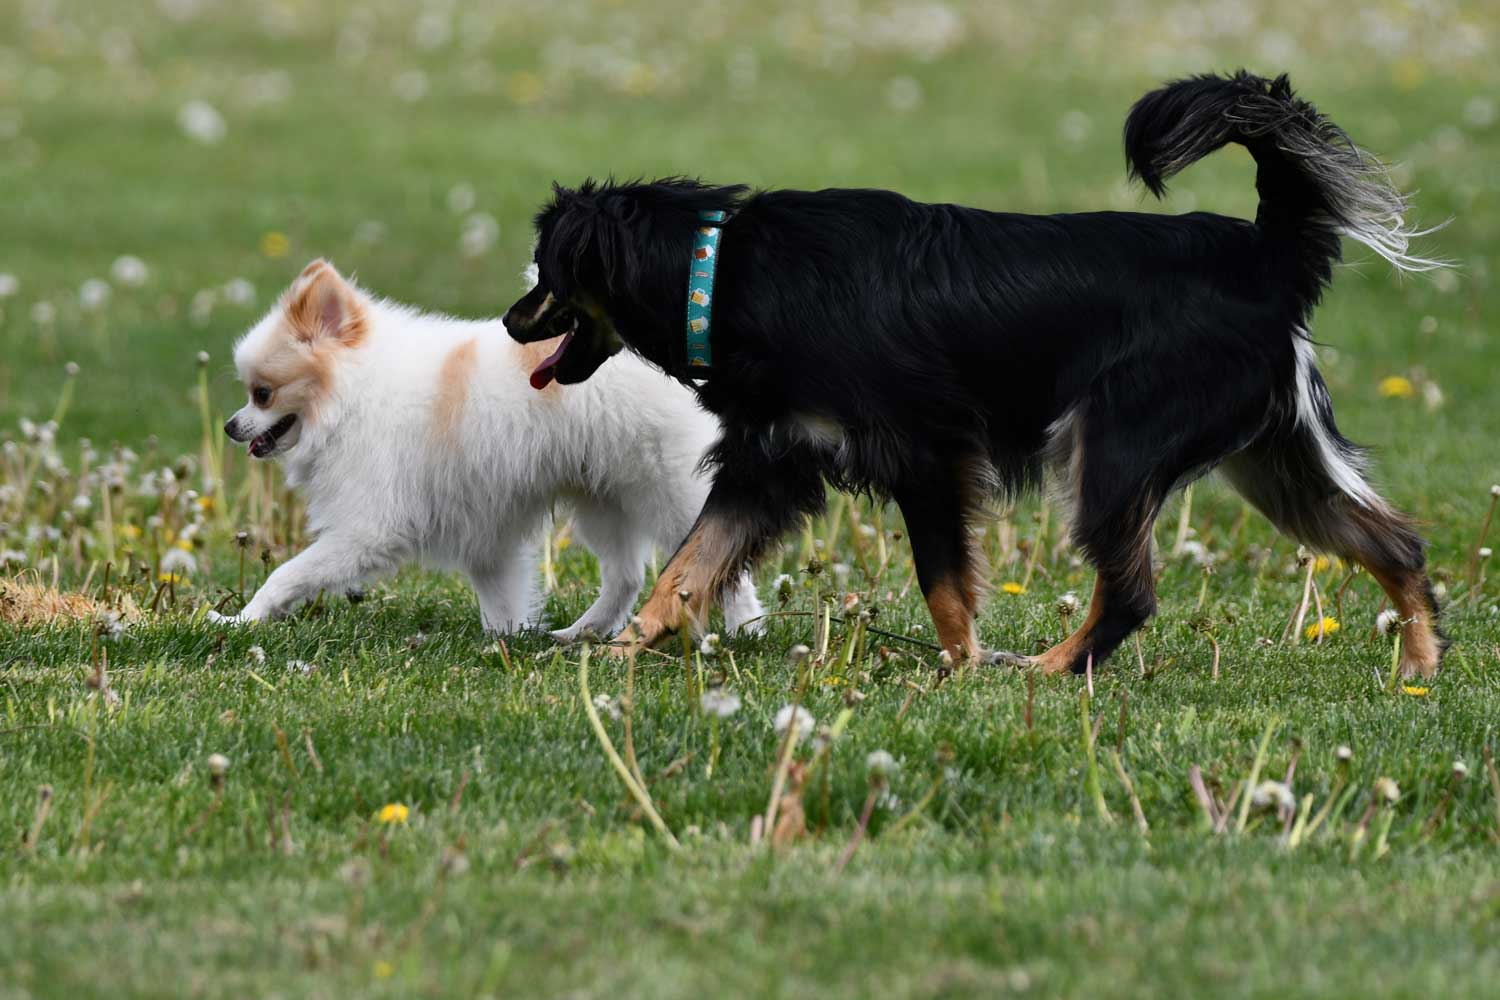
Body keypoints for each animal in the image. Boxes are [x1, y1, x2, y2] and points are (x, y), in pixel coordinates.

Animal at [214, 254, 762, 638]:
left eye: (262, 393)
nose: (230, 425)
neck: (353, 394)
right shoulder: (484, 531)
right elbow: (500, 599)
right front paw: (509, 640)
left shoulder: (367, 528)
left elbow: (287, 575)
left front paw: (241, 620)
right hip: (602, 497)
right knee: (625, 576)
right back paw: (578, 634)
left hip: (666, 492)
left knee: (721, 563)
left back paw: (742, 633)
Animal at [510, 72, 1446, 680]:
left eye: (546, 274)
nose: (513, 323)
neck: (725, 271)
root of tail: (1264, 254)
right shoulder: (768, 463)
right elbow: (685, 571)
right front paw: (615, 654)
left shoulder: (926, 455)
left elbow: (943, 585)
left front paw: (963, 670)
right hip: (1274, 461)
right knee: (1396, 544)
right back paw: (1420, 669)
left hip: (1108, 449)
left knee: (1131, 594)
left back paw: (1050, 668)